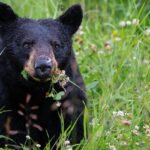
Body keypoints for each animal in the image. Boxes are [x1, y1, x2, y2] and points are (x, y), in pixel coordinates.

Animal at [0, 2, 86, 149]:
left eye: (56, 45)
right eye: (26, 44)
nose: (43, 65)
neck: (37, 90)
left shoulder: (69, 97)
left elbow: (72, 127)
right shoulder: (6, 98)